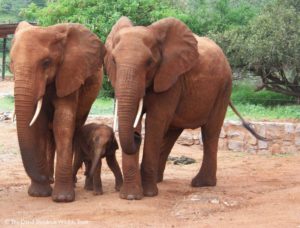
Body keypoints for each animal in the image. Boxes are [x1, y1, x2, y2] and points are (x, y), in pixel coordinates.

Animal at [10, 21, 105, 202]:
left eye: (46, 62)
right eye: (11, 63)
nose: (41, 177)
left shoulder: (70, 74)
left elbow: (63, 124)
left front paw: (62, 198)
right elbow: (39, 125)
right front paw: (39, 193)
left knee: (74, 129)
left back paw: (69, 181)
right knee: (49, 135)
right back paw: (51, 179)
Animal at [104, 16, 264, 200]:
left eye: (149, 62)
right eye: (114, 61)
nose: (137, 138)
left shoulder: (171, 78)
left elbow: (155, 121)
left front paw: (148, 194)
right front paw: (130, 196)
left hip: (224, 88)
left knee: (210, 132)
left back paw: (201, 183)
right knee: (173, 132)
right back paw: (159, 179)